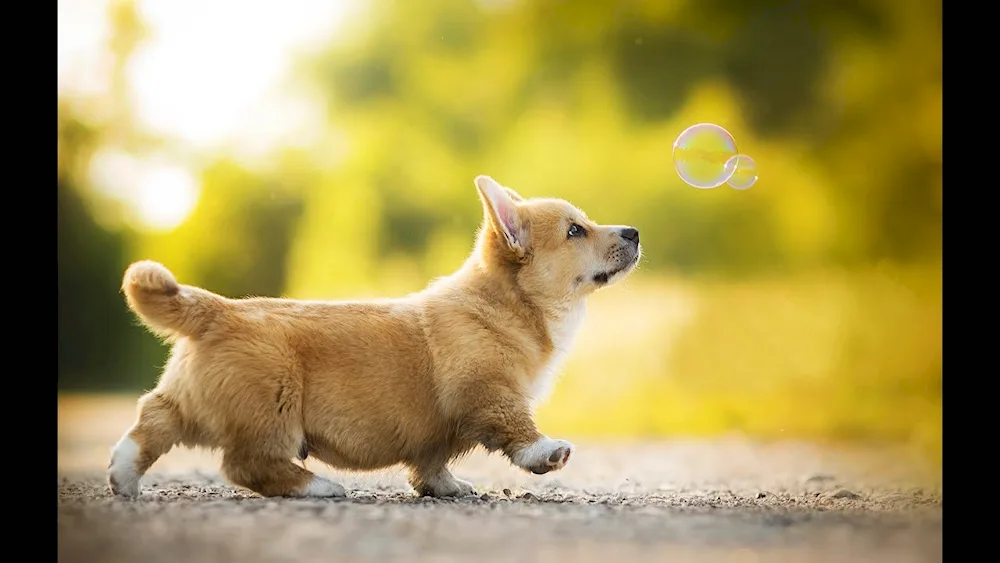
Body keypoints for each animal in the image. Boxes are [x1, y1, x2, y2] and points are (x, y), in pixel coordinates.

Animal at [109, 175, 640, 498]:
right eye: (575, 231)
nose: (634, 232)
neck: (512, 305)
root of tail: (218, 311)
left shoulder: (437, 432)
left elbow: (431, 463)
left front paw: (446, 488)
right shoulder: (488, 392)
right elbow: (517, 428)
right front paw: (546, 452)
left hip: (193, 401)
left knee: (153, 418)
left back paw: (122, 475)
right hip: (272, 406)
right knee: (246, 464)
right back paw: (317, 486)